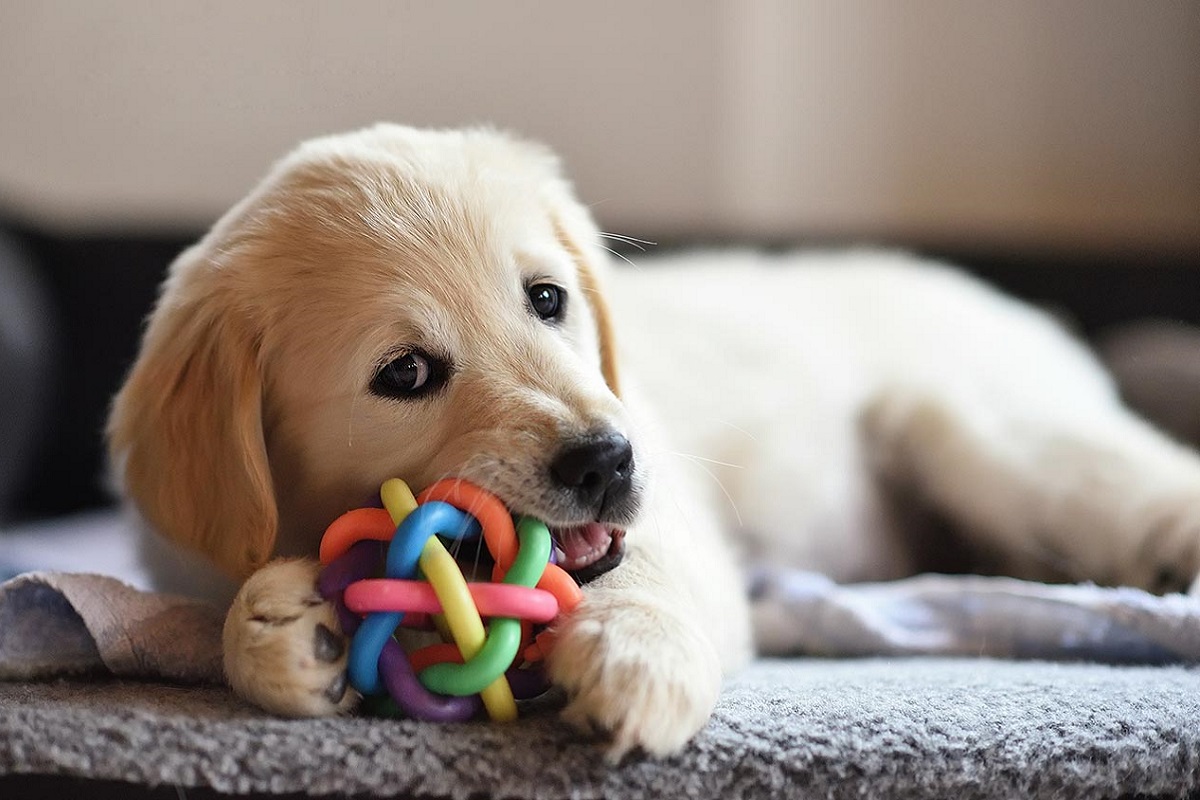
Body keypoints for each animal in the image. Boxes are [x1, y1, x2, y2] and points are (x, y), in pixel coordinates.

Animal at [108, 123, 1200, 758]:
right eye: (405, 373)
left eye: (547, 298)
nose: (606, 460)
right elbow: (224, 612)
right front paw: (282, 628)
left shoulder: (674, 510)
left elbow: (647, 573)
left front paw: (637, 658)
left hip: (982, 434)